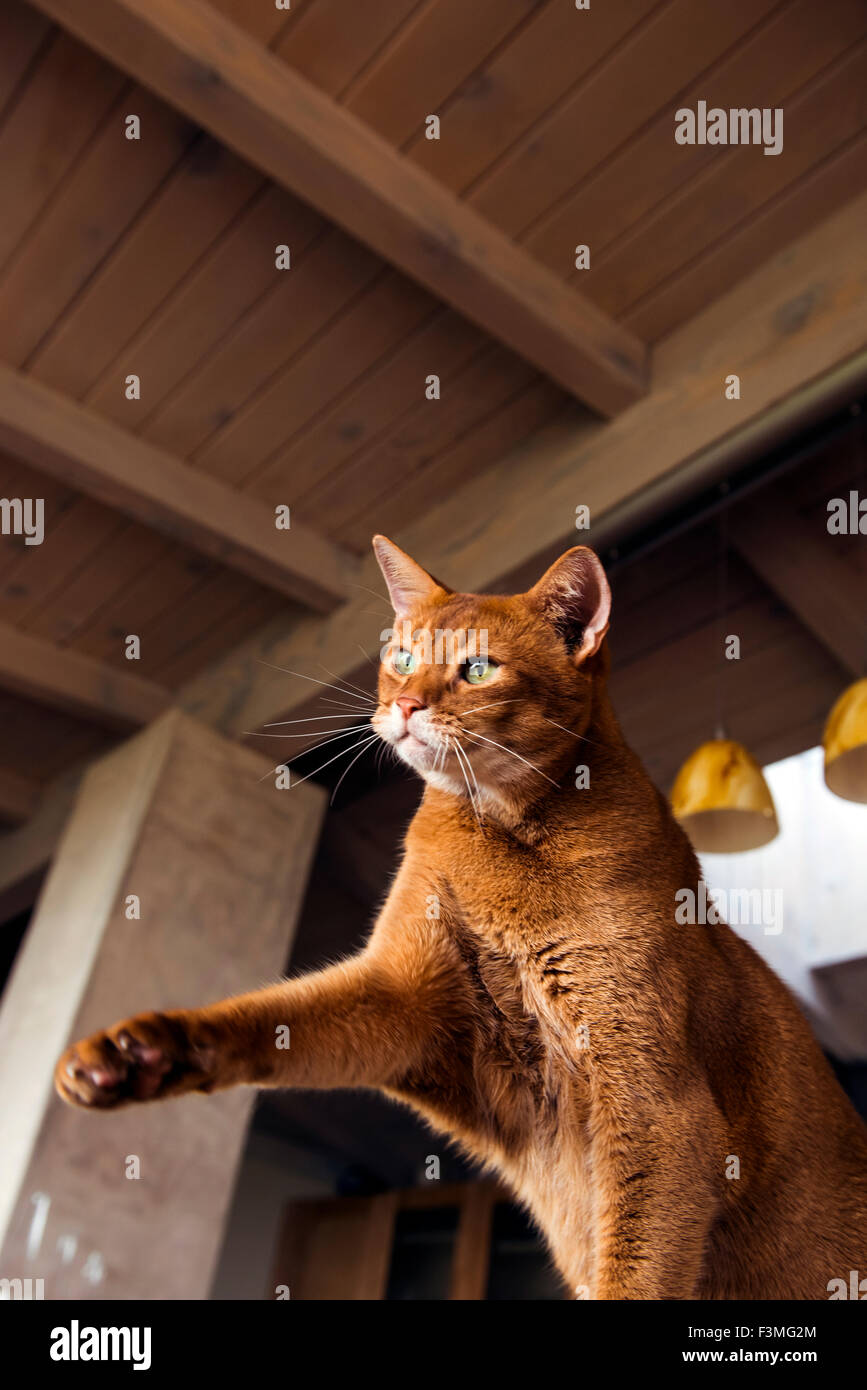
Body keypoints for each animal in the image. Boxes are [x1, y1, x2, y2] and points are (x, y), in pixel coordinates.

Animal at [54, 536, 867, 1295]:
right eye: (403, 657)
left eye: (478, 669)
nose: (405, 706)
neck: (496, 836)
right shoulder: (405, 1000)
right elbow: (266, 1014)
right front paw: (134, 1052)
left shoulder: (656, 1105)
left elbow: (634, 1268)